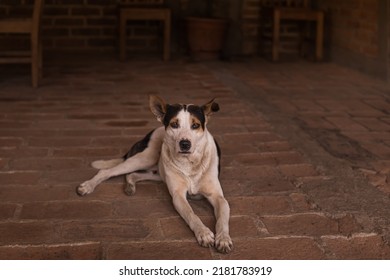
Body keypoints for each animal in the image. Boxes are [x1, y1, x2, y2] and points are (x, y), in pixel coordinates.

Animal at [77, 95, 233, 254]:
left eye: (195, 125)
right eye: (174, 124)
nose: (185, 144)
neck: (189, 163)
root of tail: (152, 131)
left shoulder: (218, 197)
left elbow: (222, 219)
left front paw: (223, 238)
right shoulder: (178, 196)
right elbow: (192, 214)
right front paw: (204, 233)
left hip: (157, 172)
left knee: (132, 175)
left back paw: (130, 186)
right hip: (146, 157)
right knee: (107, 171)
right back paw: (87, 186)